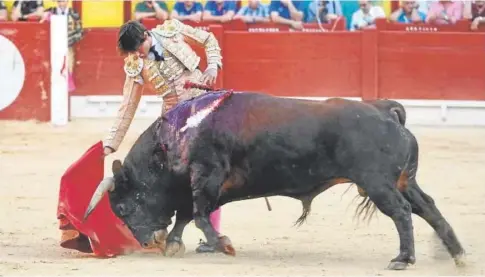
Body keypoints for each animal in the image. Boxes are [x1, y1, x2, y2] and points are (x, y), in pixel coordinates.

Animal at [83, 91, 466, 268]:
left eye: (124, 206)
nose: (146, 242)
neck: (179, 137)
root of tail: (384, 109)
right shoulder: (202, 185)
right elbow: (187, 215)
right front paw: (177, 244)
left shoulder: (207, 176)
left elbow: (199, 214)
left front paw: (223, 245)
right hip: (403, 181)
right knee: (428, 208)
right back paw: (458, 255)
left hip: (379, 184)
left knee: (402, 212)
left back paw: (403, 259)